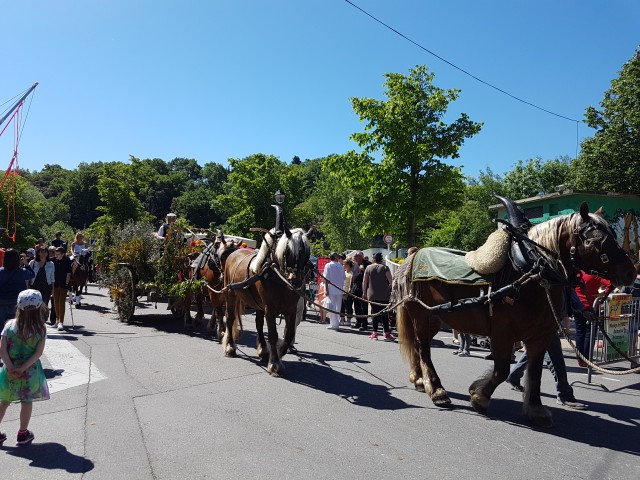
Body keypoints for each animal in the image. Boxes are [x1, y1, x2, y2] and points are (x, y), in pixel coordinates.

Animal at [222, 205, 312, 376]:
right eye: (287, 251)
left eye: (306, 254)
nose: (296, 280)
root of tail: (233, 253)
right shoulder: (270, 309)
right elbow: (273, 334)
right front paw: (275, 364)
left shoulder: (290, 309)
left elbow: (289, 334)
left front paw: (279, 352)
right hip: (230, 295)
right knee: (230, 318)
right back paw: (230, 348)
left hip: (258, 304)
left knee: (258, 324)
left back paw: (263, 351)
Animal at [392, 198, 636, 428]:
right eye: (593, 240)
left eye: (613, 234)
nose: (631, 272)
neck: (532, 272)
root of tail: (411, 258)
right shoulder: (502, 332)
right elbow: (501, 370)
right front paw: (479, 396)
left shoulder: (541, 335)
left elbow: (535, 372)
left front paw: (535, 409)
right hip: (423, 316)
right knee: (423, 348)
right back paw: (436, 390)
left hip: (431, 318)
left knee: (418, 347)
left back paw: (420, 381)